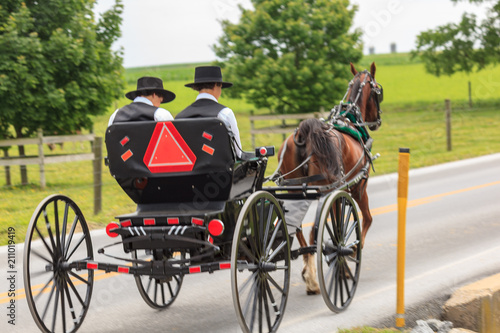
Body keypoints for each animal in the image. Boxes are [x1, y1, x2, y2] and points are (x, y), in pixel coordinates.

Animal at [278, 62, 382, 294]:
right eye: (378, 92)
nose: (377, 122)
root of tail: (303, 134)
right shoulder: (358, 188)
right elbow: (364, 220)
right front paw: (351, 254)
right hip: (328, 189)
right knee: (314, 232)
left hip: (294, 190)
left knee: (299, 230)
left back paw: (310, 275)